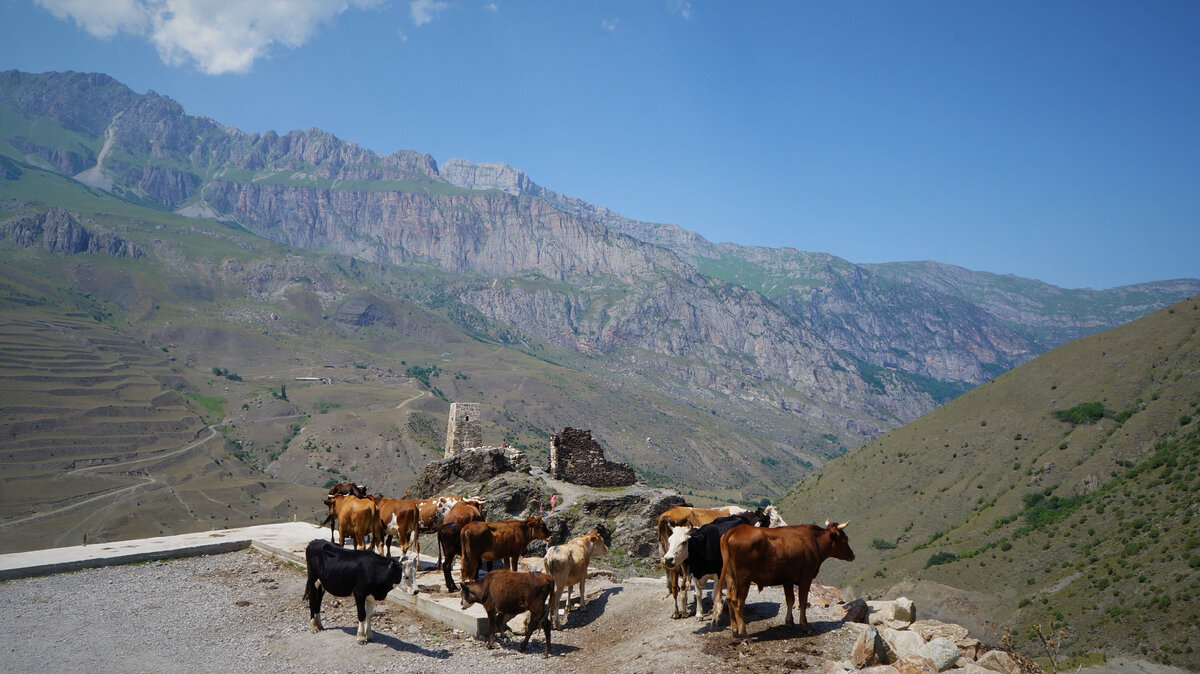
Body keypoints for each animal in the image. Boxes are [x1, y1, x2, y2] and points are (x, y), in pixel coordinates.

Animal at [715, 515, 849, 638]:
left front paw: (789, 622)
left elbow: (790, 600)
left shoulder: (788, 580)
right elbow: (802, 601)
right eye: (845, 538)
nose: (852, 555)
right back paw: (743, 633)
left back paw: (734, 630)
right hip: (744, 579)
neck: (814, 542)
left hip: (730, 577)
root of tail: (735, 530)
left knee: (729, 599)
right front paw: (805, 626)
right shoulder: (806, 578)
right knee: (738, 602)